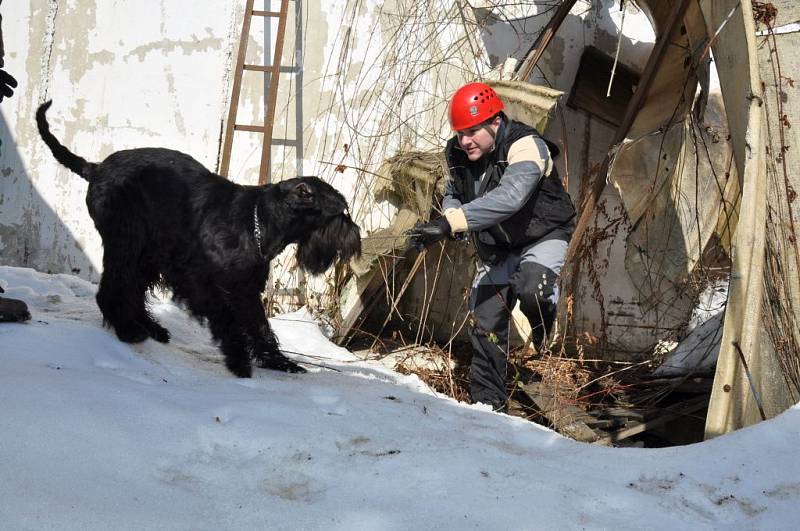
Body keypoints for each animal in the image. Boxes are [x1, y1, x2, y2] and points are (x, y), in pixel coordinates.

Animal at [36, 102, 360, 378]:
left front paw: (278, 361)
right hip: (126, 243)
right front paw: (239, 361)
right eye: (339, 213)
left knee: (132, 290)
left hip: (147, 254)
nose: (356, 239)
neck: (257, 221)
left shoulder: (245, 289)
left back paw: (150, 327)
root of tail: (95, 168)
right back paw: (128, 330)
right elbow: (227, 319)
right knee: (114, 287)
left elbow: (260, 326)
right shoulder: (198, 281)